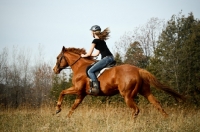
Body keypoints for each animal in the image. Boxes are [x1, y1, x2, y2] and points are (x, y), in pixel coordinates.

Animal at [53, 46, 184, 117]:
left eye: (58, 57)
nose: (54, 69)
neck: (80, 67)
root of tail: (138, 70)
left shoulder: (77, 90)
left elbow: (62, 92)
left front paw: (58, 109)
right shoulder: (81, 94)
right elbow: (73, 108)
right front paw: (66, 117)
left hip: (127, 95)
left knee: (136, 110)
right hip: (145, 91)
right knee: (157, 104)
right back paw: (167, 119)